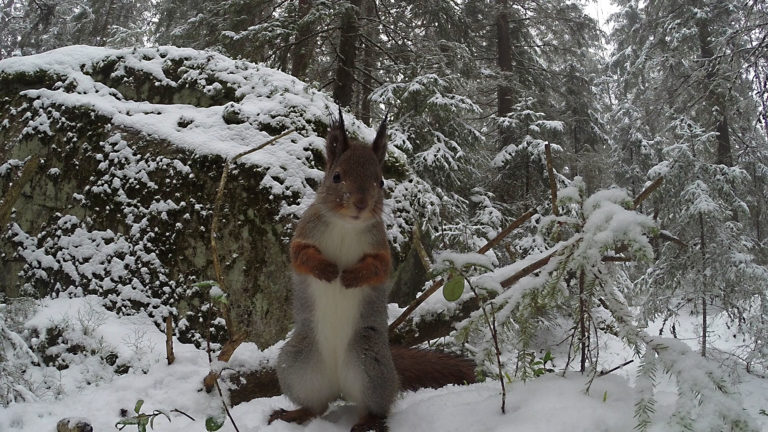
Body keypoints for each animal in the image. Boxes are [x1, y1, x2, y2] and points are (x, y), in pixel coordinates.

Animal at [268, 109, 474, 432]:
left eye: (381, 181)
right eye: (336, 176)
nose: (361, 203)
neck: (345, 225)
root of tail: (339, 384)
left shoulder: (381, 248)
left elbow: (378, 268)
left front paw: (351, 276)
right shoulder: (305, 234)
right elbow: (300, 256)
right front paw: (327, 269)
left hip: (370, 366)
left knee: (377, 406)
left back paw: (369, 421)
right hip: (297, 364)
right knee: (317, 404)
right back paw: (296, 414)